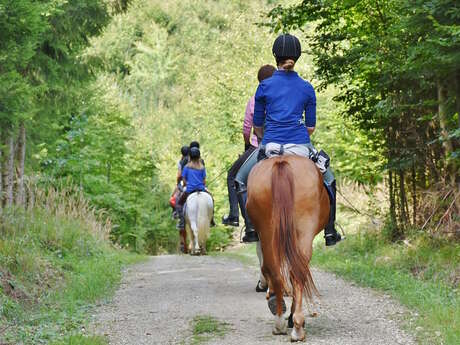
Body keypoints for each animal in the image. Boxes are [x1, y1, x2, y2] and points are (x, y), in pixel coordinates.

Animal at [246, 155, 328, 340]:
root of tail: (281, 162)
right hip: (300, 232)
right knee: (293, 273)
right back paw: (294, 324)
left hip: (269, 231)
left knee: (278, 271)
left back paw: (283, 321)